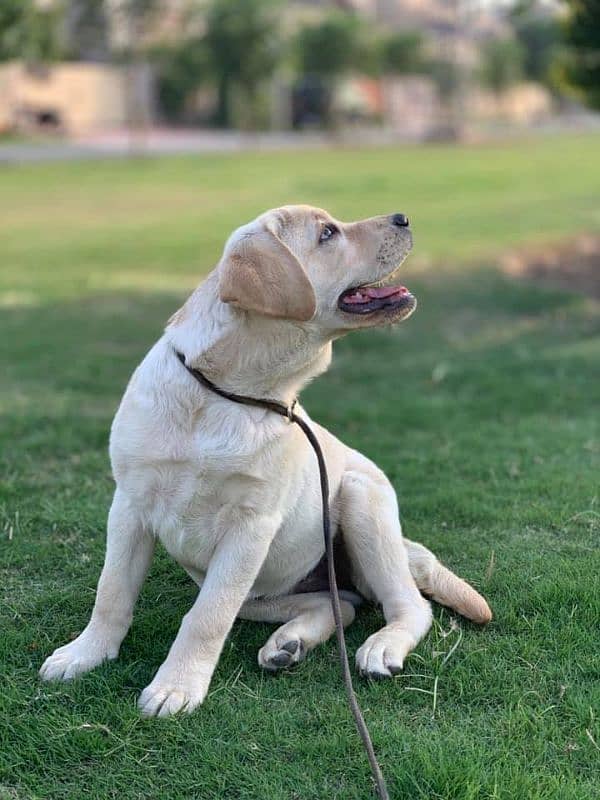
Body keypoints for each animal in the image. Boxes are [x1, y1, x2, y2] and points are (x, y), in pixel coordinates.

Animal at [38, 203, 492, 716]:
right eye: (328, 233)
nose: (403, 217)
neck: (231, 394)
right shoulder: (130, 505)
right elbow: (112, 590)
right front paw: (85, 653)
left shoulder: (251, 526)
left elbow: (206, 617)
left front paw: (176, 686)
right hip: (259, 588)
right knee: (338, 604)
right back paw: (288, 644)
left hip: (360, 500)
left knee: (410, 606)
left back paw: (381, 647)